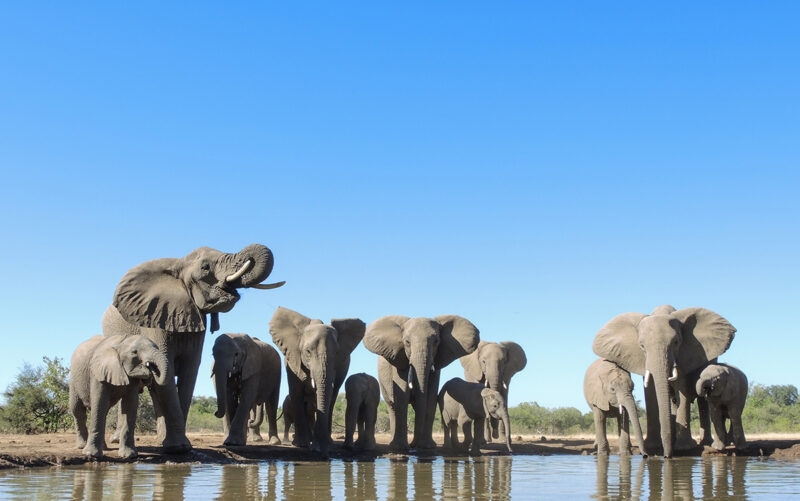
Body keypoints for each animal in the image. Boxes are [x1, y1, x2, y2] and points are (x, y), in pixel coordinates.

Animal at [101, 243, 283, 453]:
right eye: (205, 267)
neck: (179, 264)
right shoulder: (154, 317)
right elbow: (167, 367)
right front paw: (179, 446)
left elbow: (190, 370)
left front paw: (178, 445)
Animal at [269, 306, 365, 456]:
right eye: (308, 351)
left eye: (337, 353)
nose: (321, 451)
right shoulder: (292, 361)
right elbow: (296, 393)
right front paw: (302, 444)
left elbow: (330, 395)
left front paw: (321, 445)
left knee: (332, 398)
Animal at [364, 315, 480, 451]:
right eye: (407, 342)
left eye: (436, 342)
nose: (414, 445)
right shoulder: (399, 360)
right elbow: (402, 397)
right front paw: (401, 448)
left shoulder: (437, 362)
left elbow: (430, 398)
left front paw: (427, 446)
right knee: (391, 406)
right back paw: (395, 445)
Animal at [593, 305, 736, 457]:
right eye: (642, 346)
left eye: (676, 342)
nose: (666, 456)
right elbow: (650, 392)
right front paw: (654, 446)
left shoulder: (684, 355)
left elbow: (682, 389)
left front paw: (683, 448)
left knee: (702, 400)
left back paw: (704, 443)